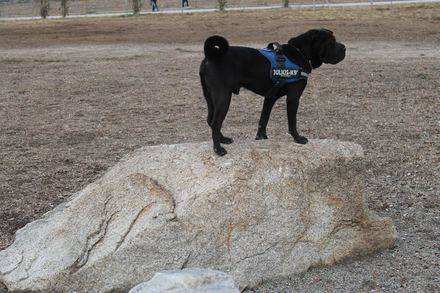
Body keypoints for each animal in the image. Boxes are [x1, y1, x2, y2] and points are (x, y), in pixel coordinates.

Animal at [200, 28, 348, 155]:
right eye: (331, 43)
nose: (344, 47)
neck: (300, 52)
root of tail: (210, 56)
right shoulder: (293, 98)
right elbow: (292, 122)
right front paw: (297, 138)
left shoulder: (270, 97)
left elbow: (263, 120)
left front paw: (261, 137)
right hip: (223, 97)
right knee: (215, 123)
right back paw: (218, 148)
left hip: (210, 97)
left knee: (210, 120)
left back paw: (223, 139)